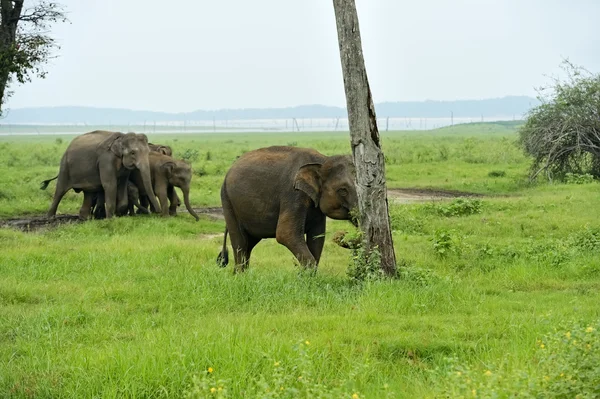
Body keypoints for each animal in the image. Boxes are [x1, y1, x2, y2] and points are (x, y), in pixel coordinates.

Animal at [216, 145, 356, 274]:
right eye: (342, 190)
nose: (342, 233)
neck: (323, 160)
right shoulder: (293, 194)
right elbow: (285, 234)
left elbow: (317, 237)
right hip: (227, 201)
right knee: (240, 242)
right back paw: (240, 275)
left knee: (249, 244)